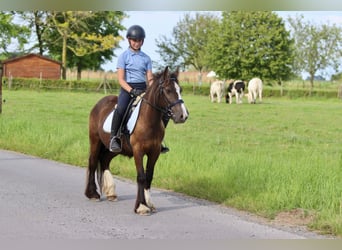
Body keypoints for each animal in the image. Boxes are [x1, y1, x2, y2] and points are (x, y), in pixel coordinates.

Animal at [84, 66, 188, 215]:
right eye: (168, 90)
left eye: (180, 90)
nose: (183, 116)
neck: (148, 120)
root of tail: (100, 103)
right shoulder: (138, 150)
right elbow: (141, 176)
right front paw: (141, 206)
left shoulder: (154, 152)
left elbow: (149, 176)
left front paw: (149, 203)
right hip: (95, 140)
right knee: (93, 162)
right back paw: (92, 194)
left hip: (115, 148)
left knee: (104, 160)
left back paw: (111, 193)